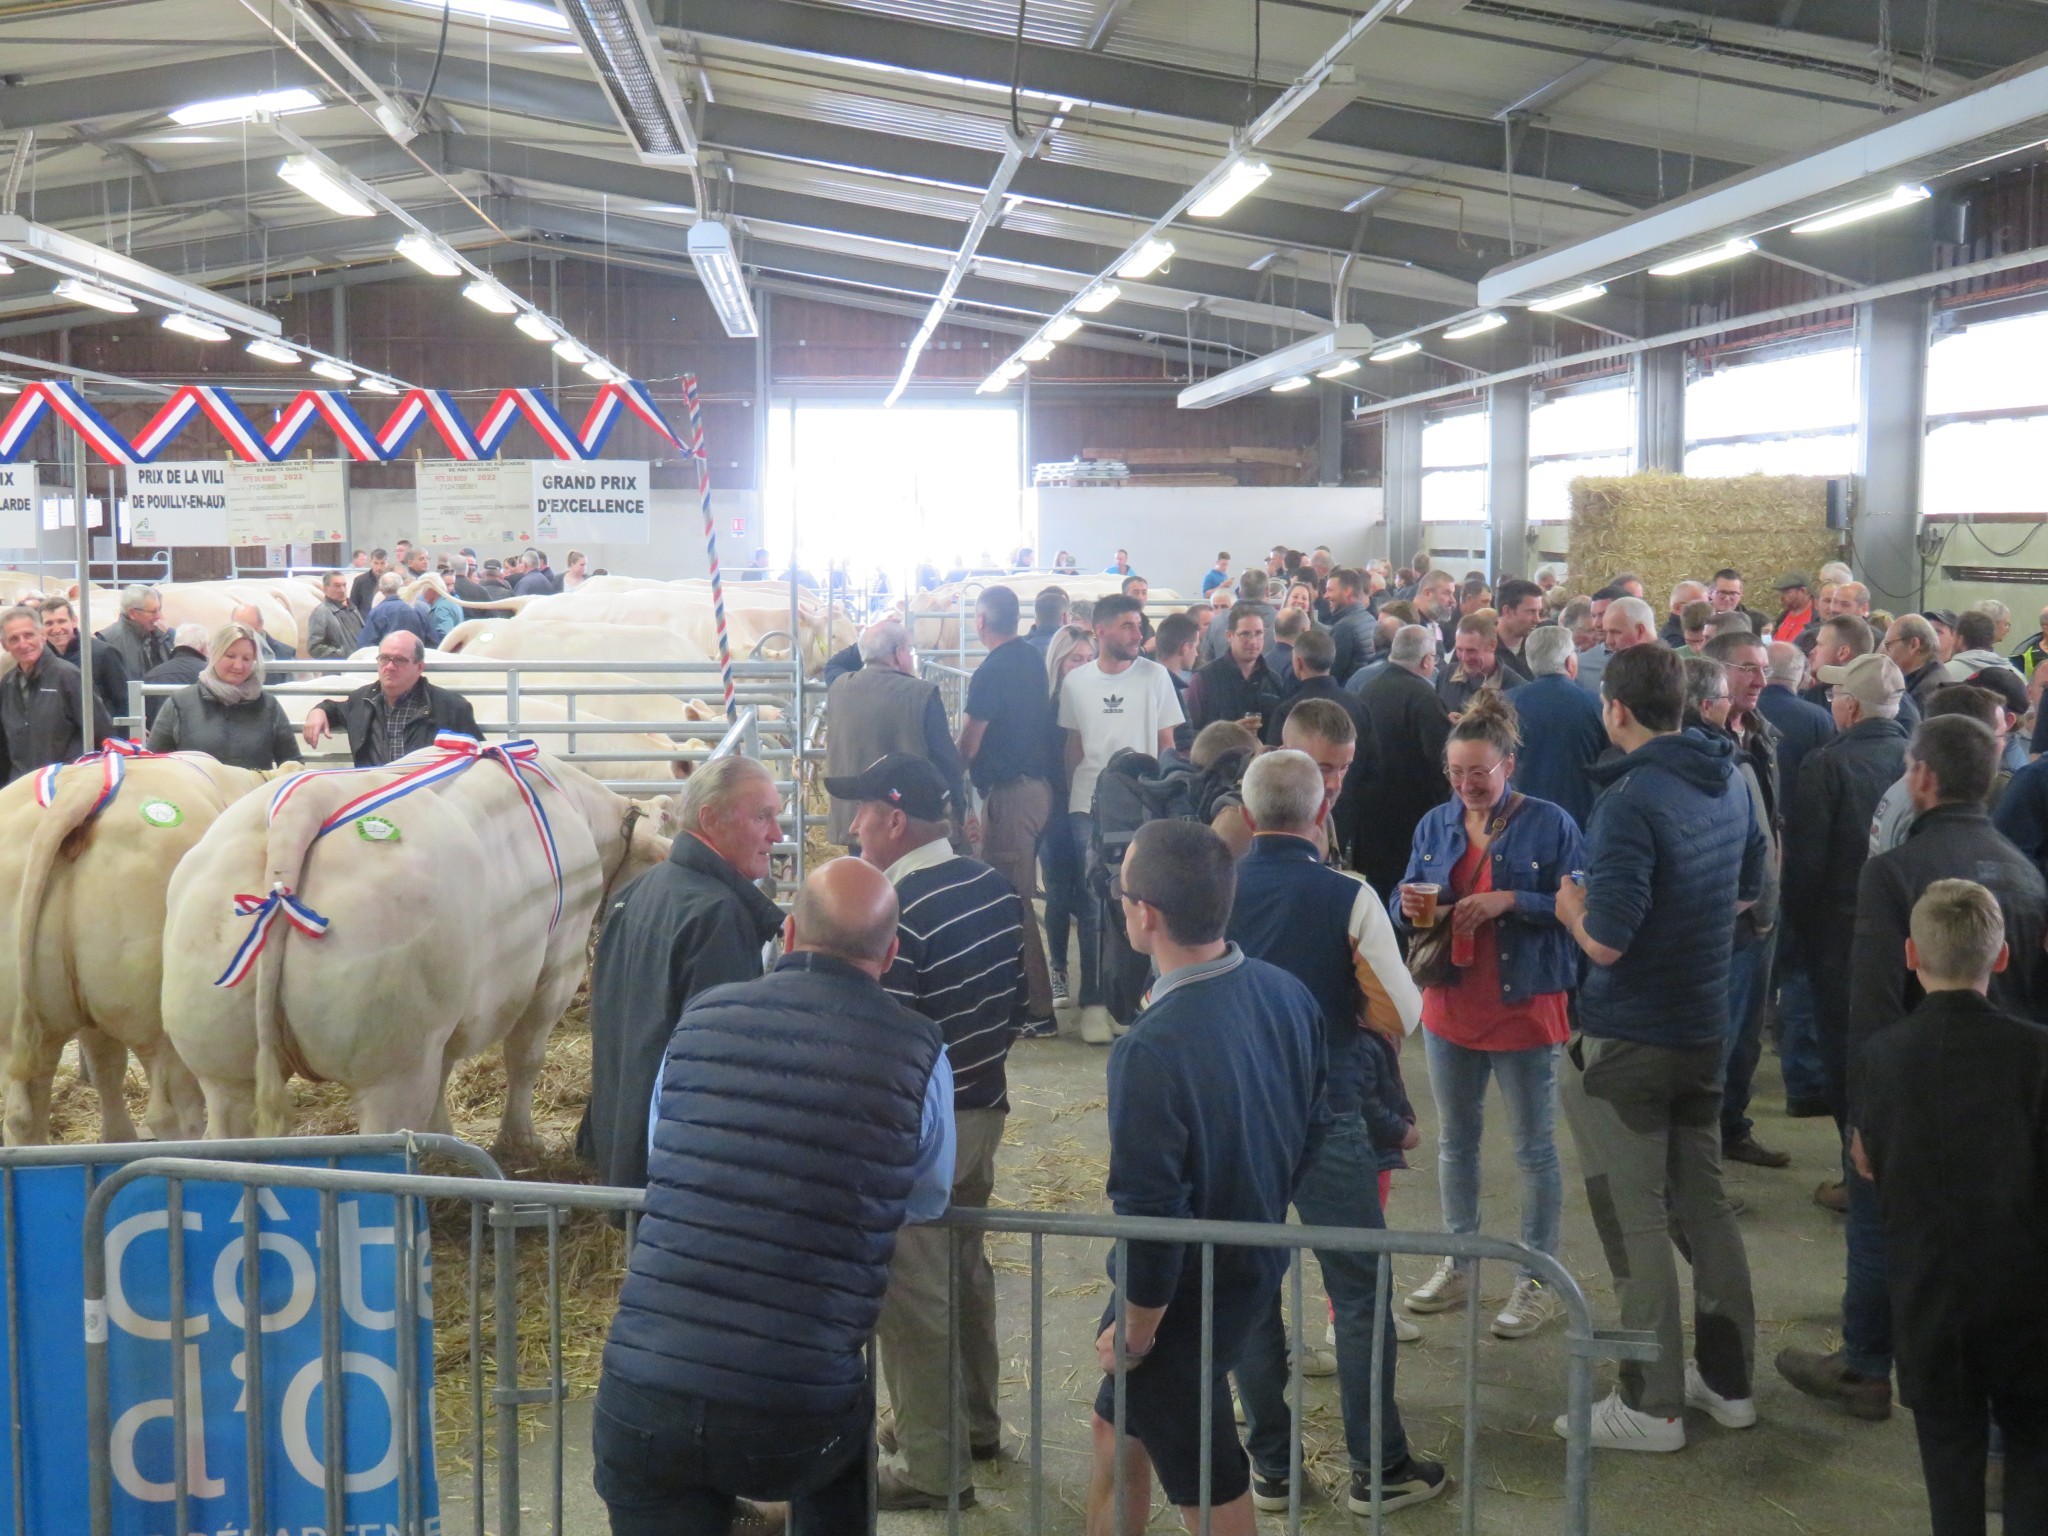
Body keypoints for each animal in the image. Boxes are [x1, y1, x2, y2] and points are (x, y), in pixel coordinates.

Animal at [3, 753, 288, 1146]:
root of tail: (81, 788)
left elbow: (104, 1061)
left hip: (29, 1019)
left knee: (24, 1110)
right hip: (154, 1015)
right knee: (167, 1111)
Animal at [165, 737, 671, 1155]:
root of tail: (305, 803)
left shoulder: (446, 1018)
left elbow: (445, 1070)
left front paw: (444, 1138)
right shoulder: (557, 968)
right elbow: (525, 1057)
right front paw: (520, 1142)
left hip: (221, 1058)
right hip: (390, 1066)